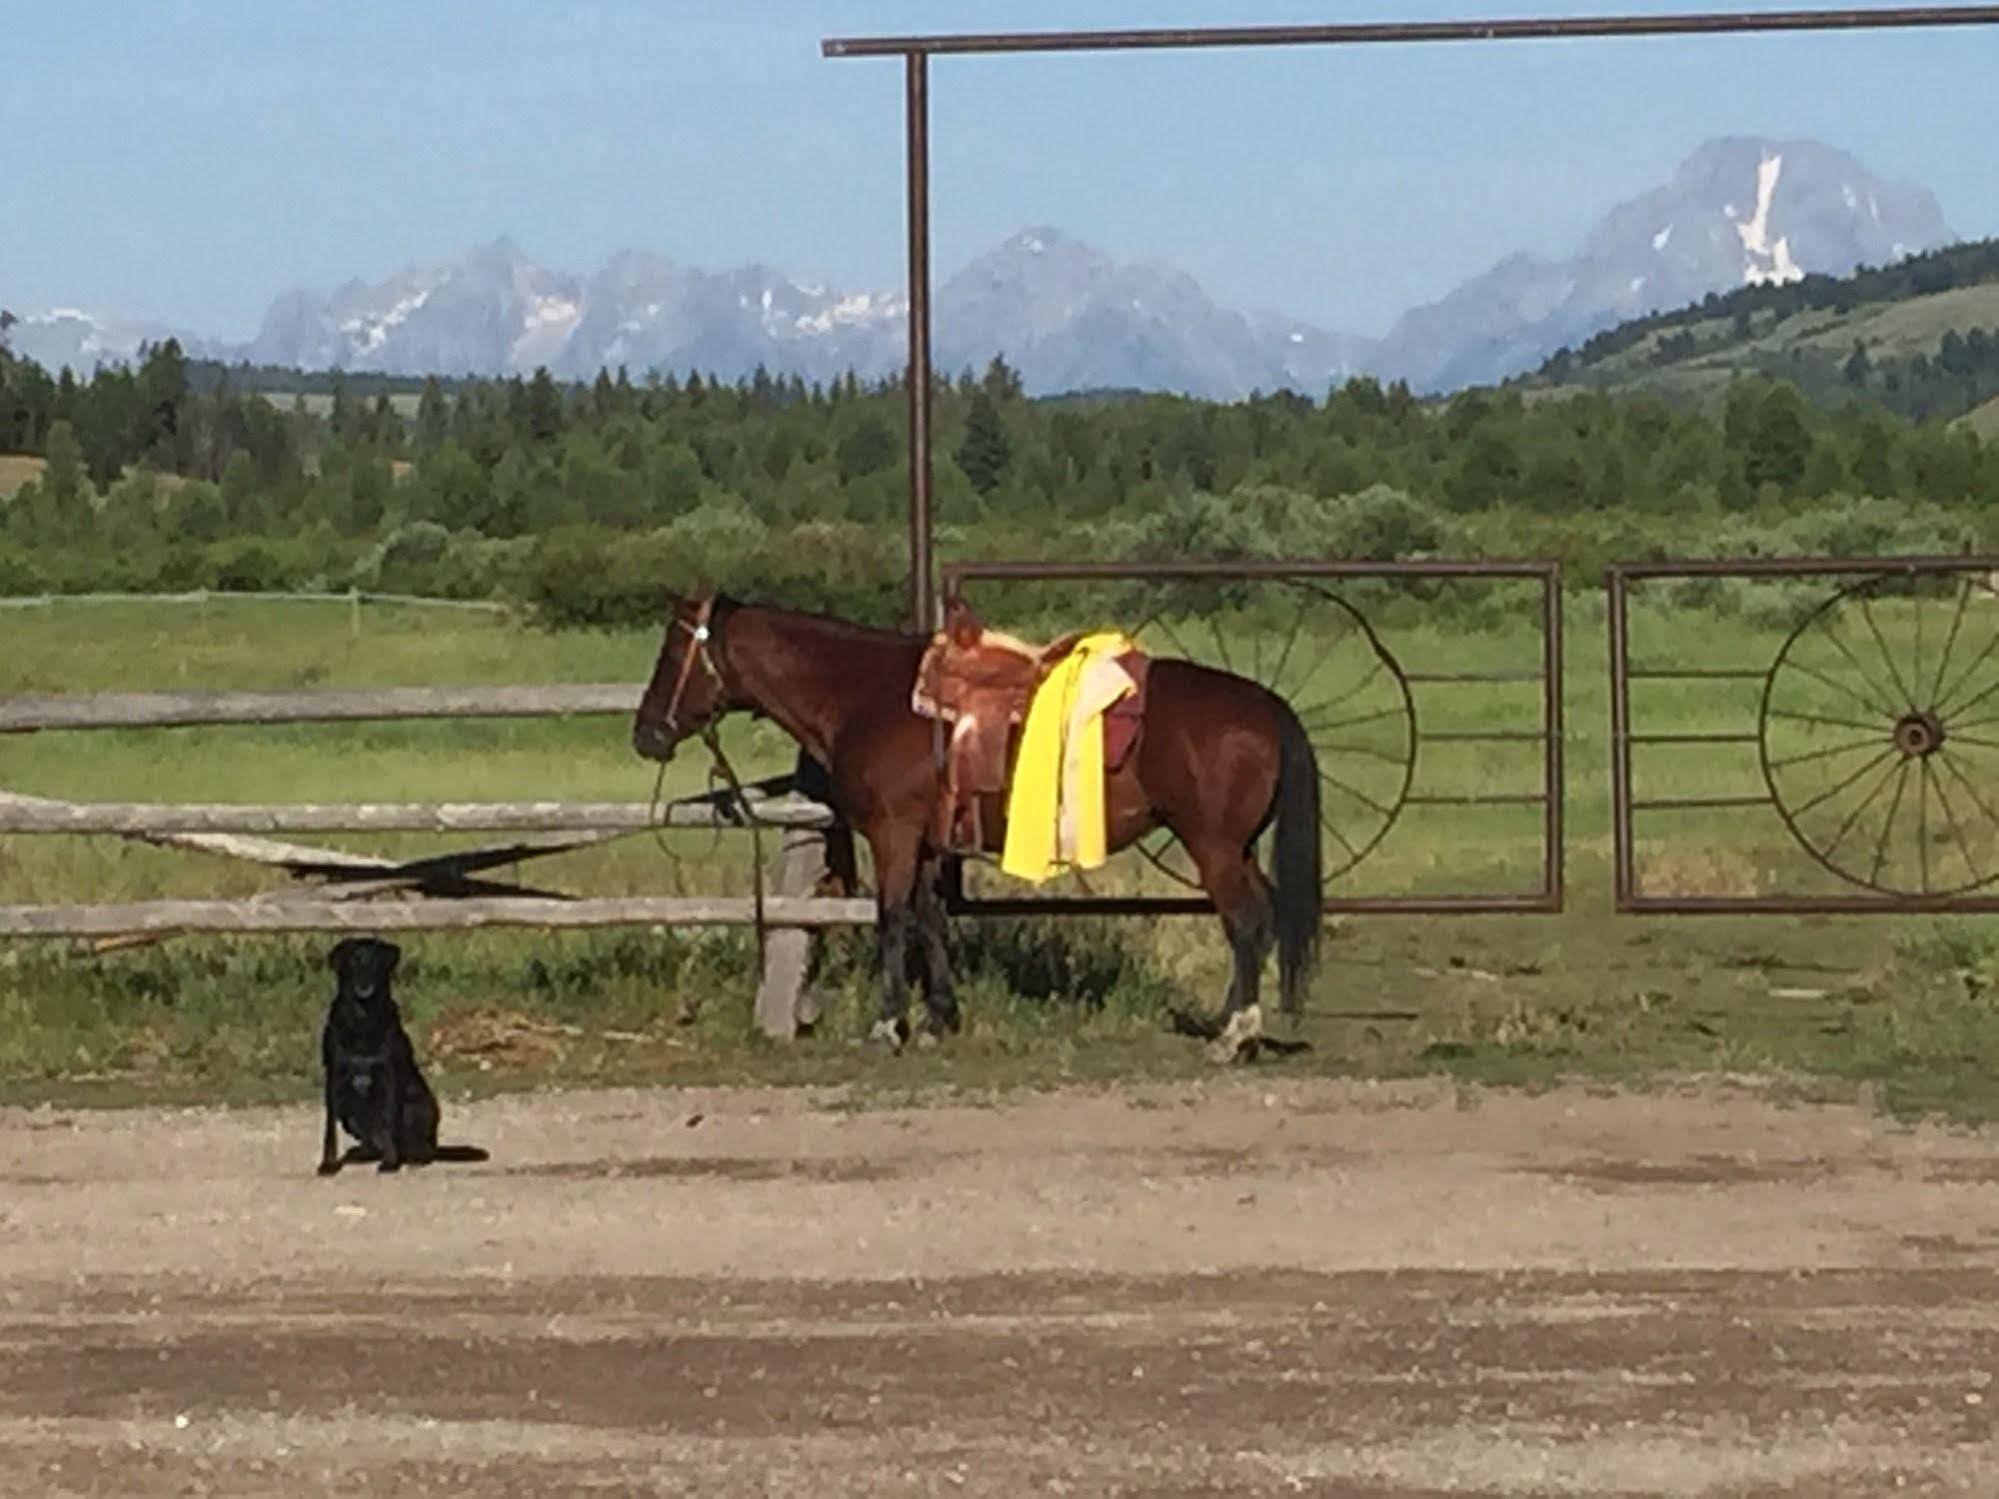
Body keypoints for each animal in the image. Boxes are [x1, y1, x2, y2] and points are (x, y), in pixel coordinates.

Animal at [323, 939, 491, 1175]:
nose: (364, 987)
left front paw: (391, 1162)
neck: (363, 1019)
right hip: (348, 1106)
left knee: (420, 1148)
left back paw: (412, 1158)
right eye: (352, 962)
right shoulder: (334, 1077)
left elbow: (391, 1122)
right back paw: (363, 1154)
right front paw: (328, 1164)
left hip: (415, 1107)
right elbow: (329, 1130)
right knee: (370, 1142)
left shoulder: (390, 1075)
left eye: (376, 963)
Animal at [631, 591, 1319, 1047]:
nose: (646, 733)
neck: (864, 697)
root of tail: (1266, 707)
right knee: (1262, 916)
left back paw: (1234, 1034)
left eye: (670, 650)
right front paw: (941, 1017)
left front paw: (888, 1025)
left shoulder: (893, 833)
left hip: (1212, 844)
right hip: (1237, 846)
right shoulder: (926, 841)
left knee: (1245, 921)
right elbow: (930, 920)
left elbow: (893, 919)